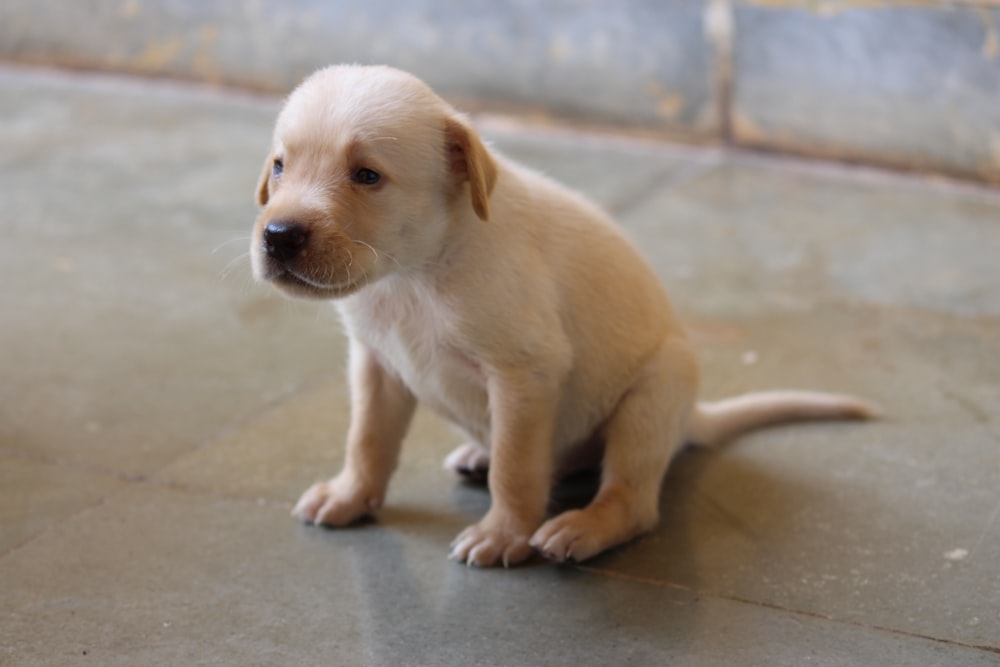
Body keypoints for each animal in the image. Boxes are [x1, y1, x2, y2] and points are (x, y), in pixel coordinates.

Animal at [252, 65, 876, 568]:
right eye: (279, 166)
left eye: (367, 175)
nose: (278, 235)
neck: (415, 273)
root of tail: (691, 419)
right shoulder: (376, 364)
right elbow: (367, 439)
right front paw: (349, 495)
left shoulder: (525, 372)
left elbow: (515, 467)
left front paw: (504, 534)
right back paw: (479, 454)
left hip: (651, 399)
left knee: (630, 498)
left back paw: (584, 526)